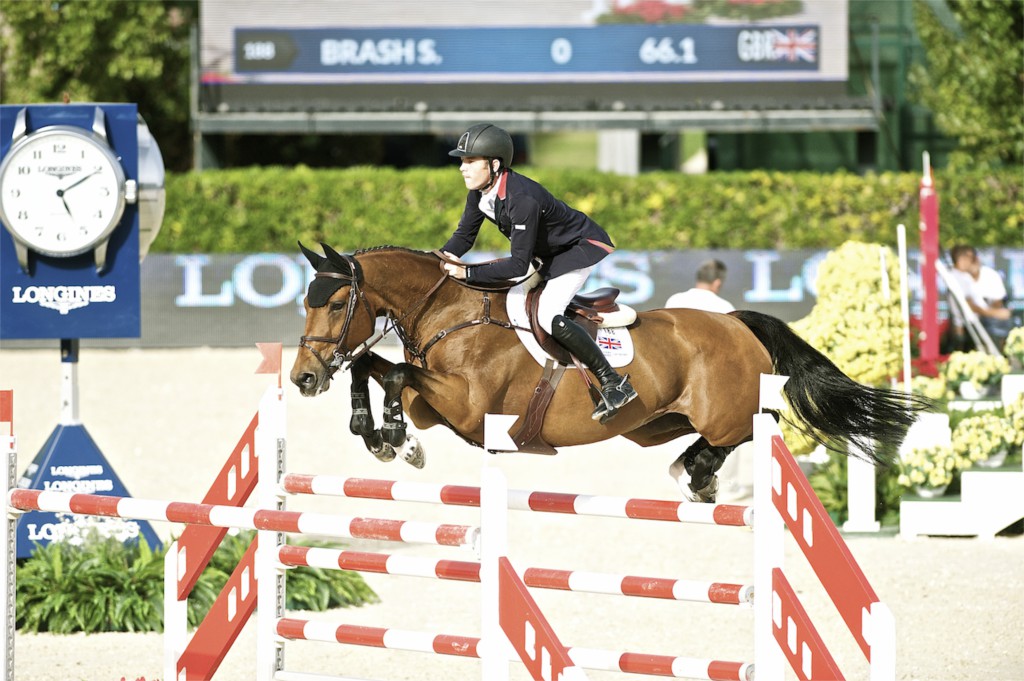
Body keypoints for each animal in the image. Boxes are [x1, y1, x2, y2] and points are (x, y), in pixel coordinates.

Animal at [290, 242, 929, 499]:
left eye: (334, 304)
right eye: (306, 301)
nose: (302, 379)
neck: (447, 312)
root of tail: (735, 323)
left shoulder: (468, 406)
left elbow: (394, 374)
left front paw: (396, 441)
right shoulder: (439, 406)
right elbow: (374, 367)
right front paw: (379, 436)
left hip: (726, 409)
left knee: (760, 424)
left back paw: (699, 476)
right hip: (654, 422)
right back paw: (692, 472)